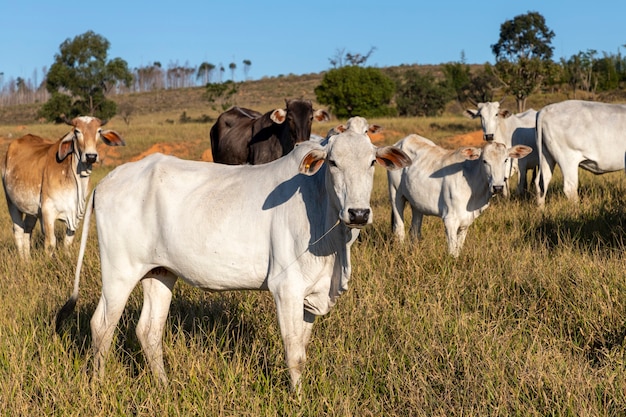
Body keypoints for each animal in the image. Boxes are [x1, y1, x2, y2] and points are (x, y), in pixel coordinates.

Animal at [1, 114, 124, 256]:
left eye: (98, 131)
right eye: (77, 131)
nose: (91, 156)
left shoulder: (76, 214)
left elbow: (67, 243)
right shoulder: (47, 211)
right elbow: (50, 243)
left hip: (31, 209)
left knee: (27, 229)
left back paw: (27, 257)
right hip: (11, 202)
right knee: (18, 231)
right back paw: (22, 259)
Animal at [56, 129, 410, 390]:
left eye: (372, 162)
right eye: (333, 162)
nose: (358, 213)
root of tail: (107, 181)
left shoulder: (312, 295)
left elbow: (303, 348)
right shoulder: (286, 288)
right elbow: (294, 352)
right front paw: (298, 399)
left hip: (159, 273)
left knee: (148, 331)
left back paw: (165, 386)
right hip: (119, 272)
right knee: (102, 326)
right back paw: (99, 386)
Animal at [388, 135, 528, 255]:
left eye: (505, 160)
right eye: (484, 161)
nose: (498, 187)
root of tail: (402, 141)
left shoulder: (466, 221)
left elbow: (459, 248)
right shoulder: (450, 220)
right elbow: (453, 251)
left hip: (417, 204)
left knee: (415, 230)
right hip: (395, 195)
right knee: (399, 228)